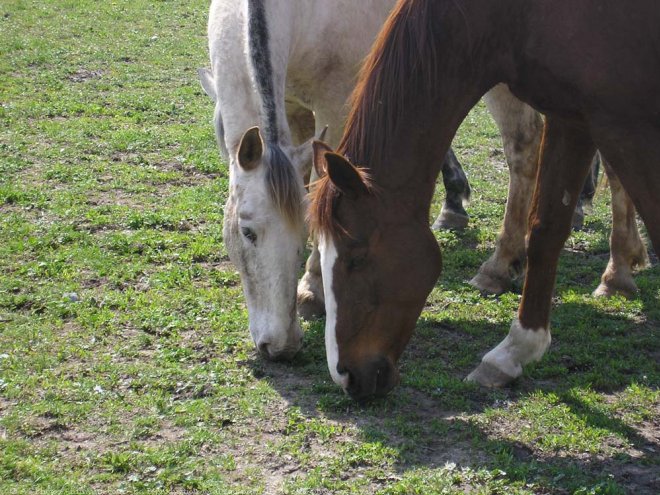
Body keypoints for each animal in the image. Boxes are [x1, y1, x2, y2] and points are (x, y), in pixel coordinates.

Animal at [199, 1, 648, 362]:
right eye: (247, 233)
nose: (281, 345)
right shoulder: (294, 112)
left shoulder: (337, 102)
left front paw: (311, 288)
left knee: (528, 149)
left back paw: (575, 269)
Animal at [310, 0, 660, 402]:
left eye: (357, 257)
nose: (346, 376)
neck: (515, 17)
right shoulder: (571, 114)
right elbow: (546, 231)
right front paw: (513, 352)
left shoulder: (624, 123)